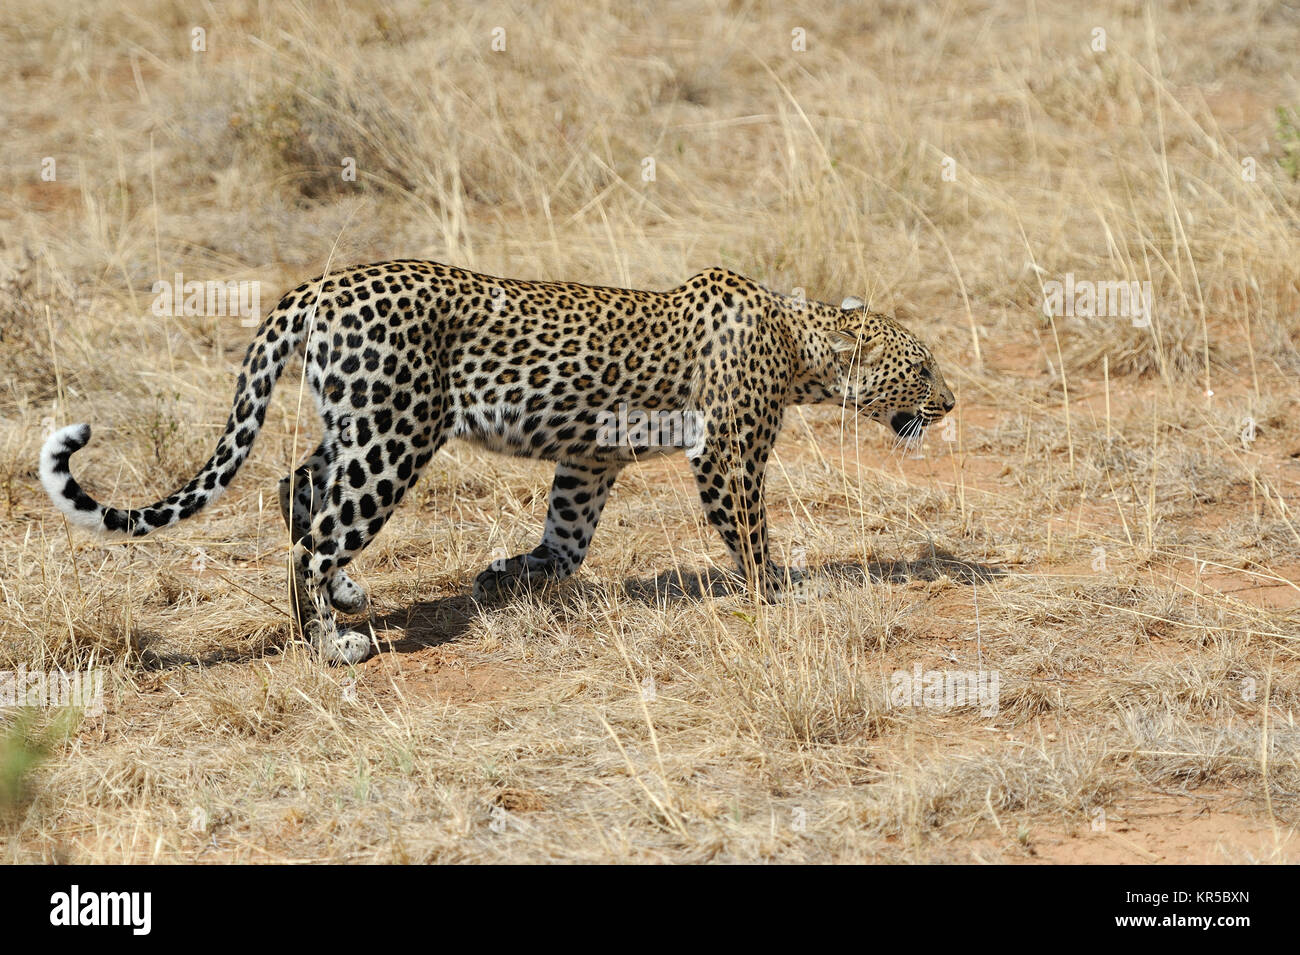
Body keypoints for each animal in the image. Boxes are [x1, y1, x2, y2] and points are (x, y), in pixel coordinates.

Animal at [40, 261, 956, 665]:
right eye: (921, 367)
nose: (951, 404)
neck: (801, 345)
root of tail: (319, 287)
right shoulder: (726, 456)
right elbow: (752, 535)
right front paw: (781, 590)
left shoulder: (590, 463)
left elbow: (567, 542)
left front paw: (505, 576)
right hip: (393, 435)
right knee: (317, 533)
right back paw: (331, 642)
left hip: (356, 423)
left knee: (296, 486)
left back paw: (347, 597)